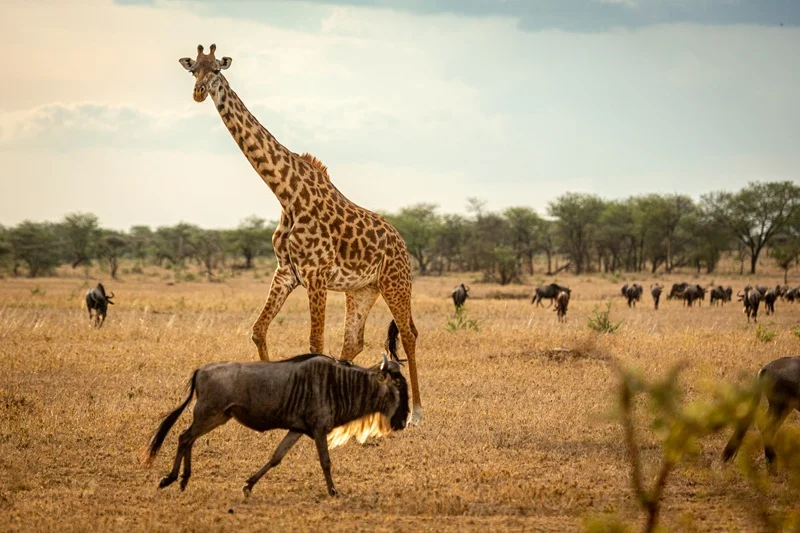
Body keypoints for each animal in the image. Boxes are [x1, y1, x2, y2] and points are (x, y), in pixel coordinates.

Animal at [179, 44, 422, 424]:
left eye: (217, 69)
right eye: (193, 71)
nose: (199, 92)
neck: (286, 193)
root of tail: (401, 242)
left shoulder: (316, 274)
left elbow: (314, 344)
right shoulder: (286, 272)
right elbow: (258, 330)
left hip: (395, 282)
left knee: (409, 333)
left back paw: (416, 414)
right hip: (362, 289)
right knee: (353, 340)